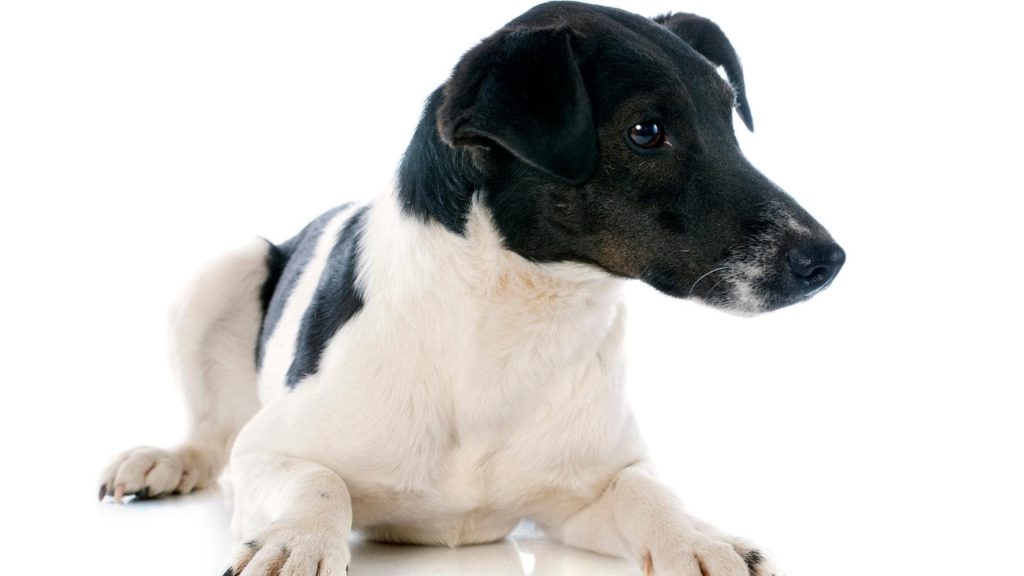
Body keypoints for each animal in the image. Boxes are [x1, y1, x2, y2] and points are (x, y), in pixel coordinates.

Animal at [99, 2, 843, 569]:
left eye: (729, 117)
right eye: (646, 131)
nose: (829, 261)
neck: (514, 316)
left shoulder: (585, 497)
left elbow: (649, 493)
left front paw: (695, 539)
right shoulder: (270, 450)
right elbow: (318, 483)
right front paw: (298, 542)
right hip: (222, 273)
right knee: (210, 434)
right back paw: (165, 461)